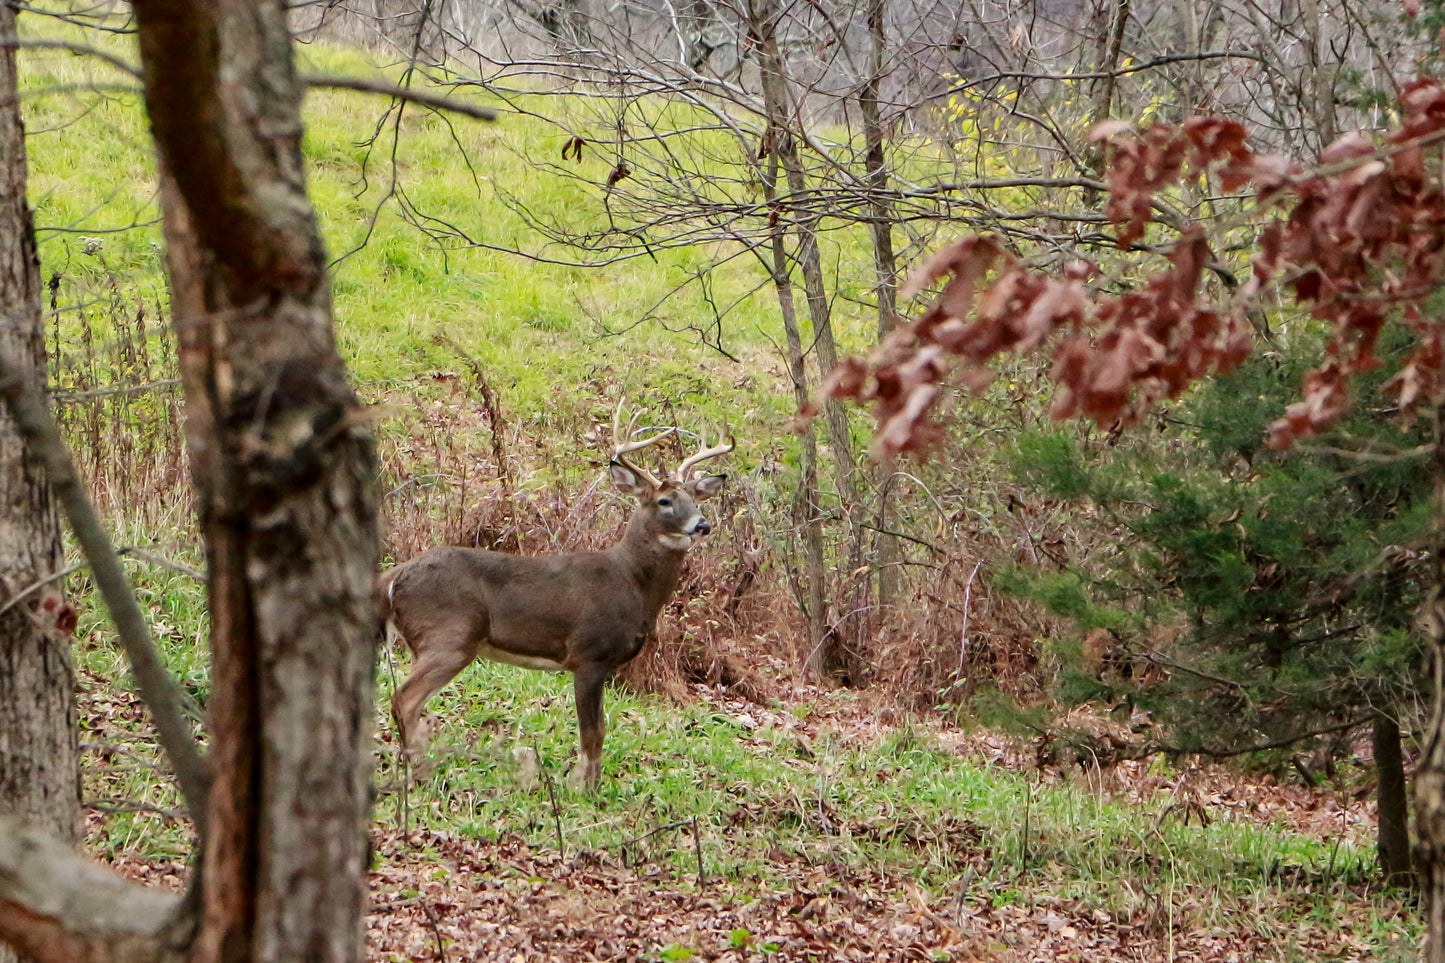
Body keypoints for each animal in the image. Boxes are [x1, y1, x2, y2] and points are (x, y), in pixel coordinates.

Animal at [378, 401, 734, 786]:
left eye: (696, 499)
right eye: (665, 501)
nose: (702, 524)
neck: (630, 583)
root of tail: (393, 578)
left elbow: (599, 731)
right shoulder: (589, 654)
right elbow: (593, 733)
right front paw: (583, 787)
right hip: (449, 636)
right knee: (404, 700)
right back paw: (419, 774)